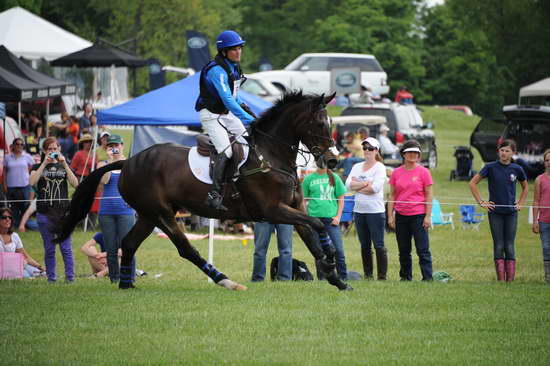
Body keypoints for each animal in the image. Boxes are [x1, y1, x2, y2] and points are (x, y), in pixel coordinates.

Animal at [57, 91, 354, 292]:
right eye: (319, 124)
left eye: (330, 123)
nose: (332, 161)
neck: (272, 156)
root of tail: (128, 162)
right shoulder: (274, 211)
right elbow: (319, 225)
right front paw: (331, 262)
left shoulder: (294, 208)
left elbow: (313, 235)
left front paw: (336, 278)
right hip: (163, 214)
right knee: (185, 249)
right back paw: (226, 281)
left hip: (148, 215)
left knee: (128, 244)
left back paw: (126, 286)